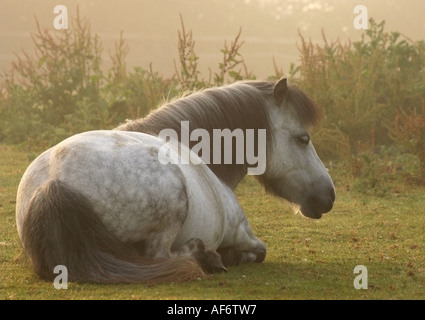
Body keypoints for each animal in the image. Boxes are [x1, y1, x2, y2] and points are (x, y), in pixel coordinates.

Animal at [15, 77, 334, 282]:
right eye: (303, 139)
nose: (329, 195)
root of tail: (54, 181)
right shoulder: (242, 232)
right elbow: (260, 251)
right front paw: (227, 256)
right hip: (173, 206)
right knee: (159, 255)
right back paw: (204, 257)